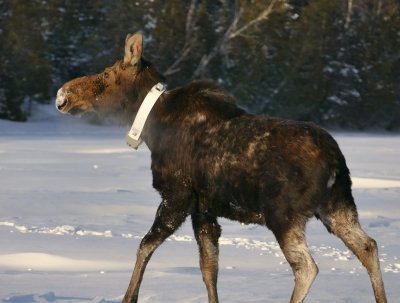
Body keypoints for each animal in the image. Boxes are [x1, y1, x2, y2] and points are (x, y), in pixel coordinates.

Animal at [56, 32, 388, 302]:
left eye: (107, 73)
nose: (63, 95)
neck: (151, 128)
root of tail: (335, 160)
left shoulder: (177, 197)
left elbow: (144, 247)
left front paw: (129, 297)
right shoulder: (204, 209)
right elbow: (209, 269)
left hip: (283, 214)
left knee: (307, 267)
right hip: (337, 206)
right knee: (368, 246)